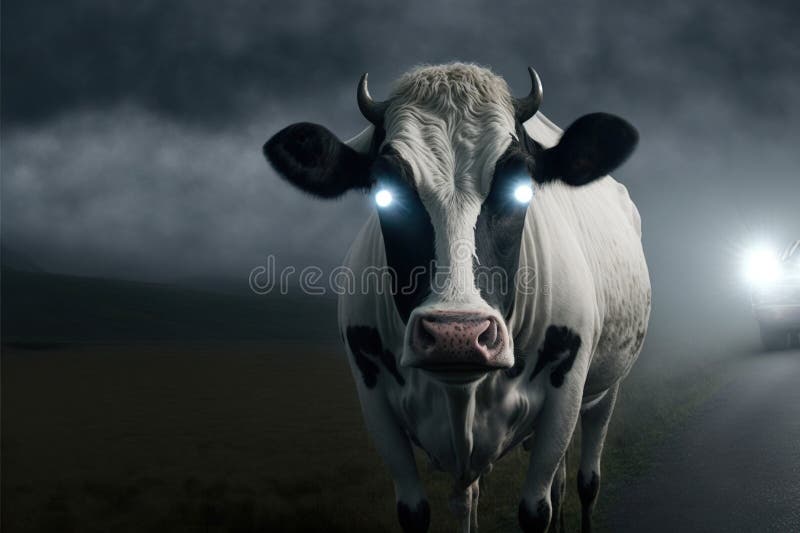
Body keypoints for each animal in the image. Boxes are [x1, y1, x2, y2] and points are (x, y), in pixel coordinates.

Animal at [263, 63, 650, 533]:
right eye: (384, 187)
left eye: (521, 182)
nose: (457, 335)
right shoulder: (373, 398)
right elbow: (415, 511)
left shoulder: (566, 389)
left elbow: (536, 510)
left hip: (604, 389)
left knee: (585, 480)